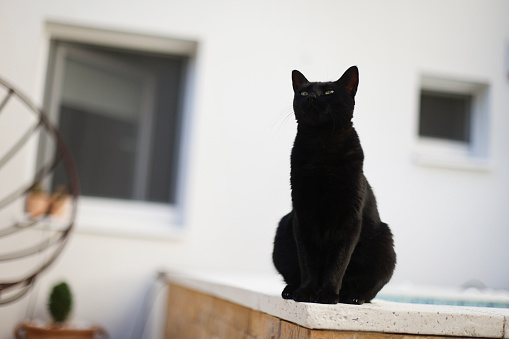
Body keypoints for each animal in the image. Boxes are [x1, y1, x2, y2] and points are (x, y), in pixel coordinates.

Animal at [272, 65, 394, 306]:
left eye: (328, 92)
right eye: (304, 92)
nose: (312, 97)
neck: (322, 146)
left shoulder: (349, 220)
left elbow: (338, 262)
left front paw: (327, 295)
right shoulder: (303, 216)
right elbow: (307, 261)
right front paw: (306, 293)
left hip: (385, 242)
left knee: (368, 289)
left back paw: (352, 296)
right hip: (283, 230)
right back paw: (291, 290)